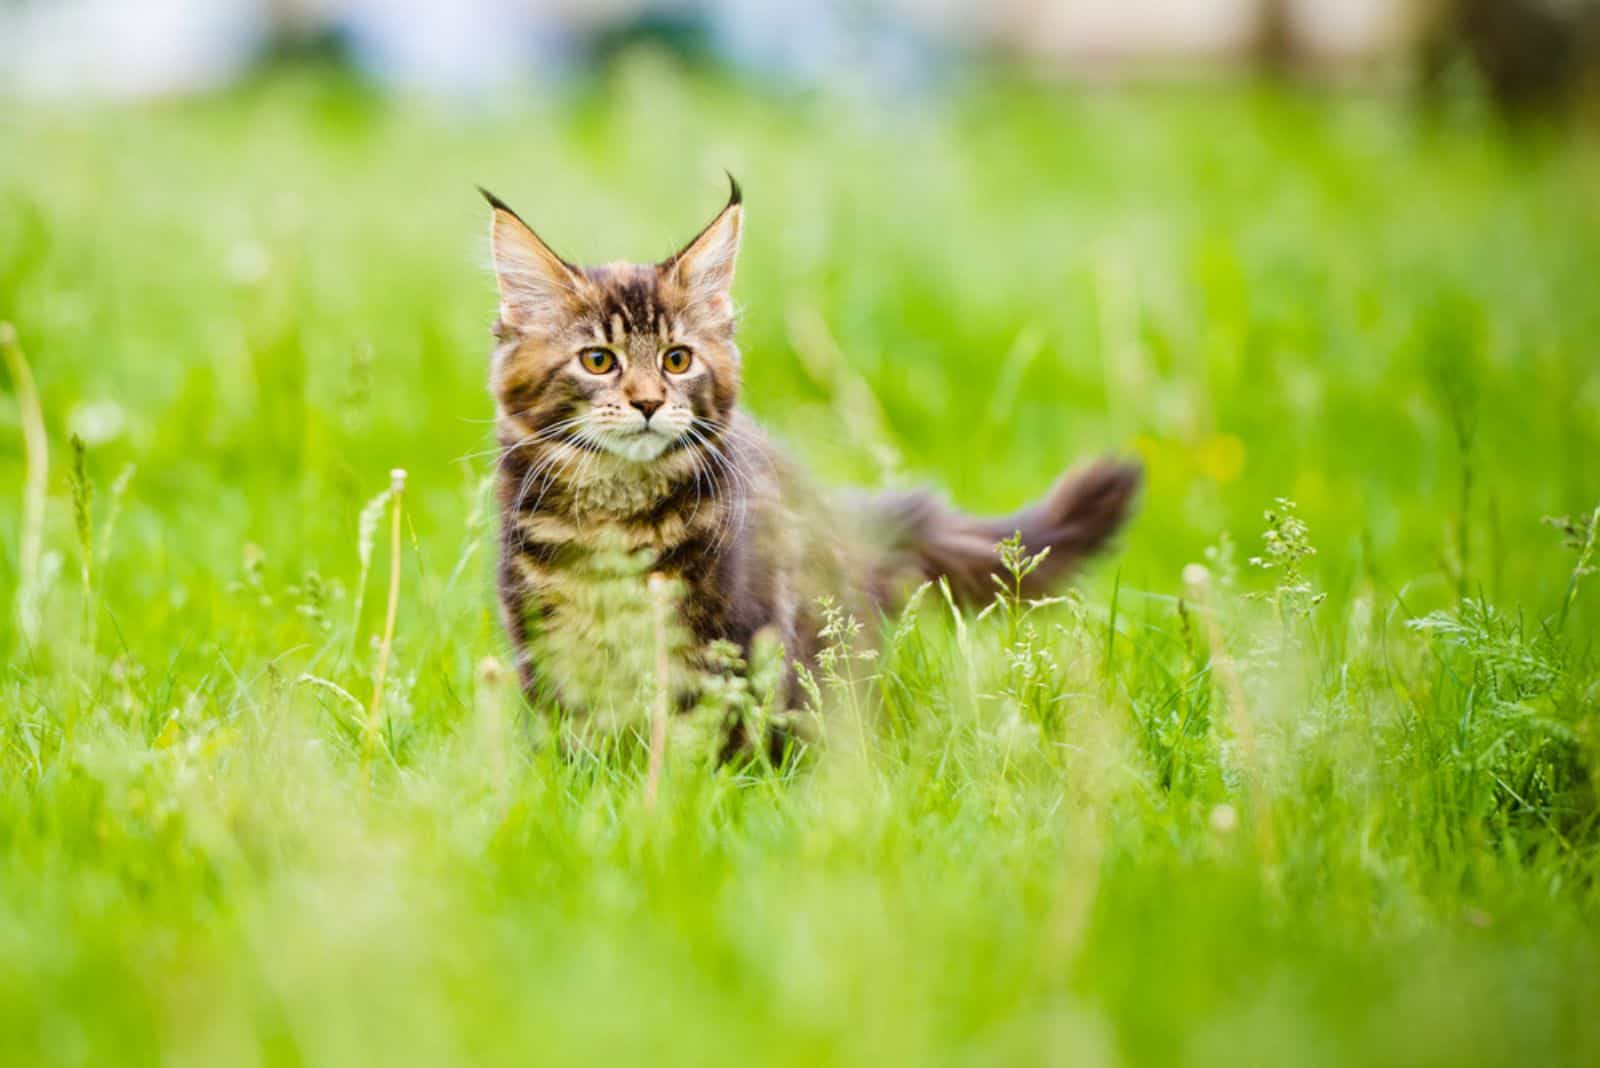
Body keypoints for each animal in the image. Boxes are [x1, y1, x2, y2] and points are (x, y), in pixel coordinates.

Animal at [480, 177, 1145, 735]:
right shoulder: (545, 637)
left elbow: (703, 740)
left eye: (677, 359)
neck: (617, 516)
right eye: (598, 361)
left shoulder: (727, 638)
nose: (647, 402)